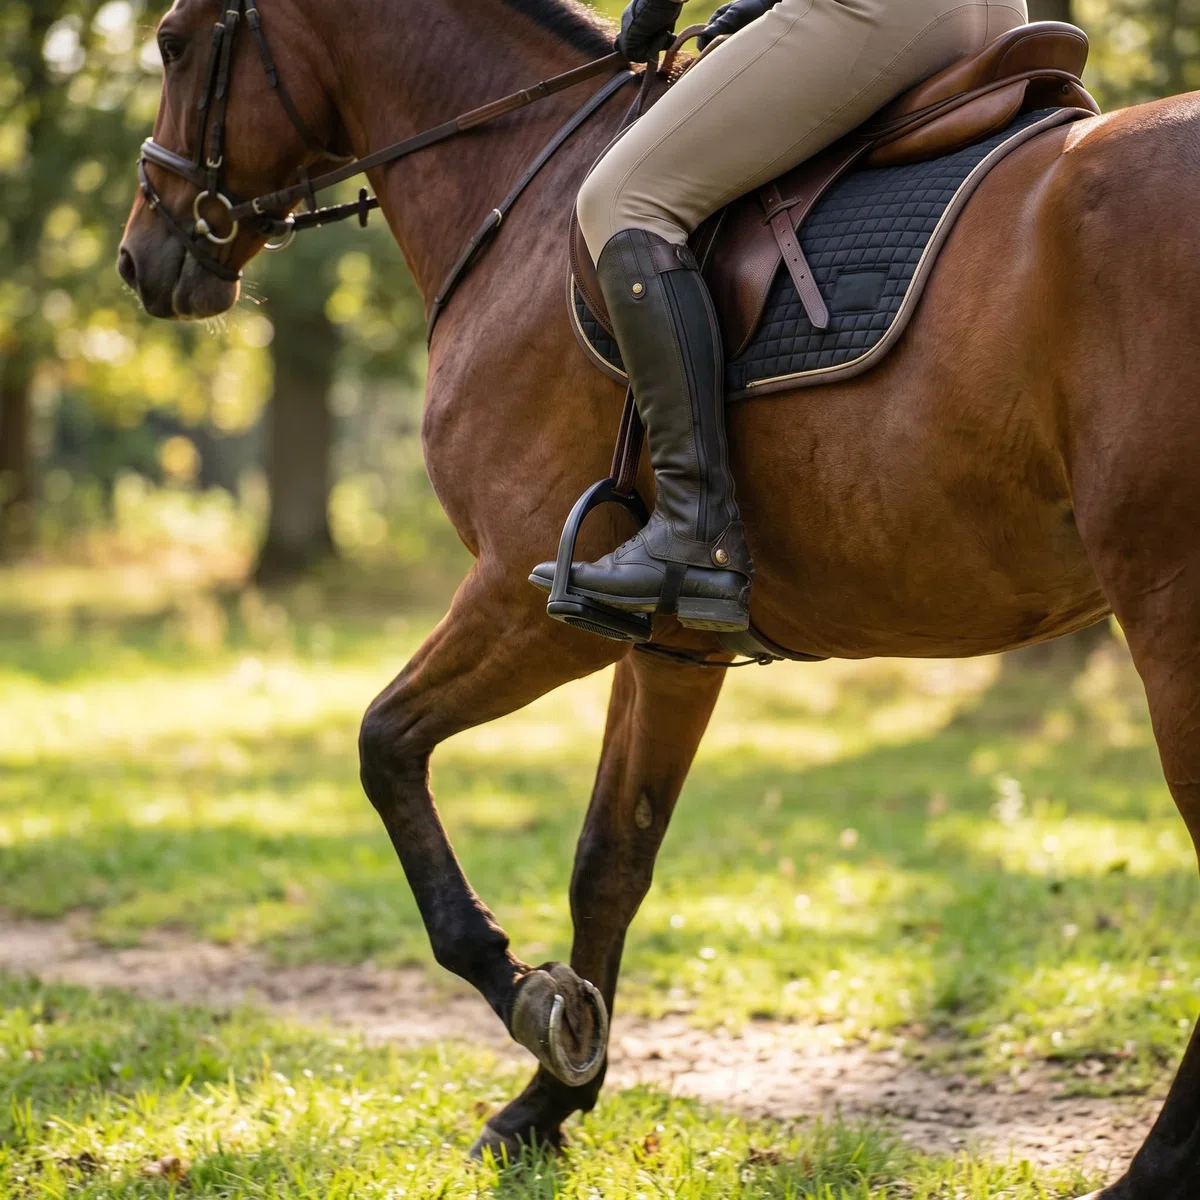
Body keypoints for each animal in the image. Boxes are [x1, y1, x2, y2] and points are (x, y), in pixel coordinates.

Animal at [118, 1, 1200, 1194]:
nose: (140, 257)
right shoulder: (668, 642)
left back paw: (1153, 1171)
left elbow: (384, 746)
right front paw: (549, 1098)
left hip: (1173, 619)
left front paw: (529, 998)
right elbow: (610, 861)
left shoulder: (525, 595)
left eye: (174, 42)